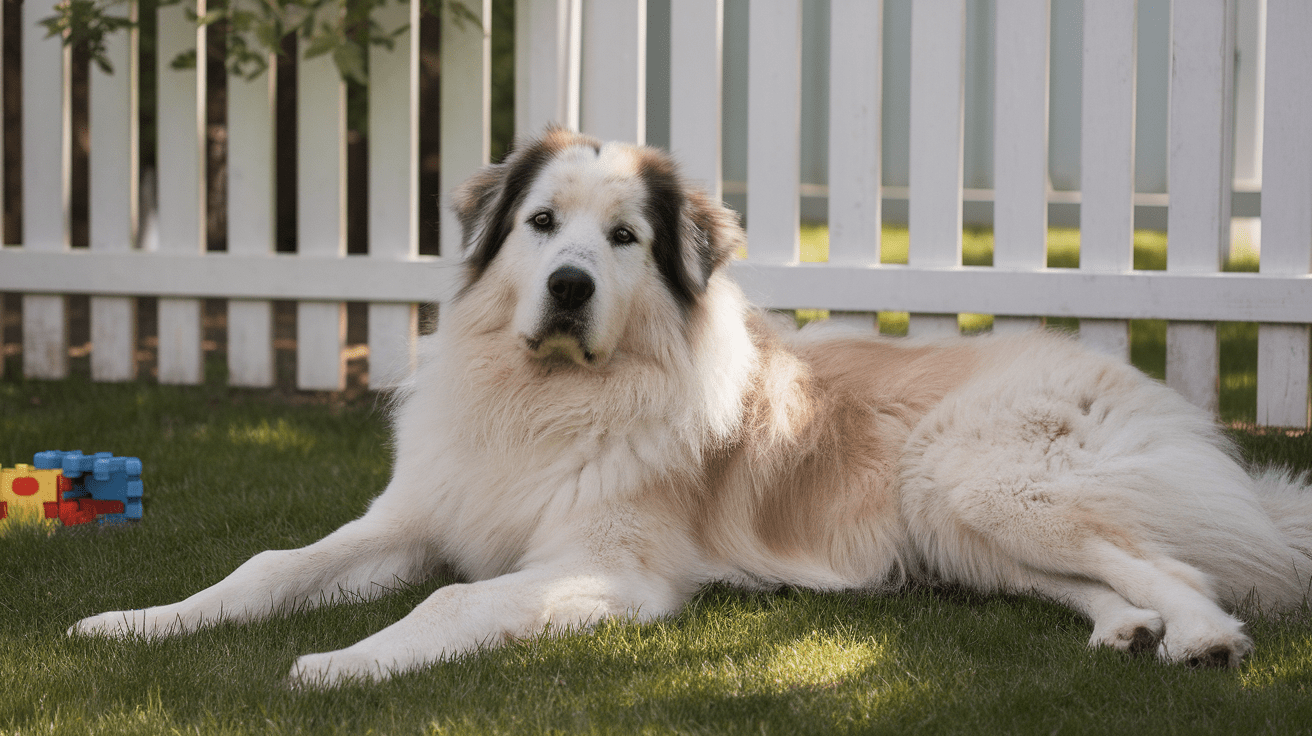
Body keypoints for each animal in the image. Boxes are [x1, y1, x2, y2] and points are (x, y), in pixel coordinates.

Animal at [74, 127, 1312, 682]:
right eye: (540, 225)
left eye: (624, 239)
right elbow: (268, 566)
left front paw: (338, 663)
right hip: (960, 529)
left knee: (1183, 565)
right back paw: (1121, 626)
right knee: (1106, 572)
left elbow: (446, 605)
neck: (548, 396)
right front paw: (131, 621)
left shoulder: (607, 569)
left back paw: (1199, 636)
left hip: (983, 479)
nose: (570, 286)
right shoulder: (414, 519)